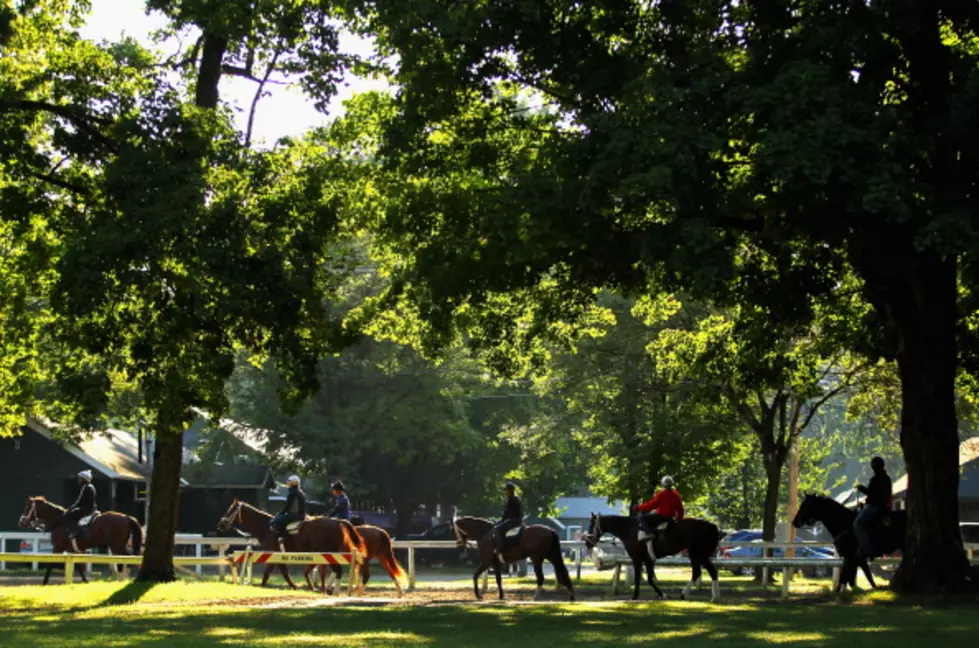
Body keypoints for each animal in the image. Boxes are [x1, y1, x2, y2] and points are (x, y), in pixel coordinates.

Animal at [217, 498, 368, 596]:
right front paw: (295, 586)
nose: (221, 524)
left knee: (337, 571)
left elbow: (269, 574)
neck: (266, 527)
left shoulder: (272, 555)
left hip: (327, 554)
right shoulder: (278, 556)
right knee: (338, 571)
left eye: (231, 510)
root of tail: (337, 521)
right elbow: (283, 572)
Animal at [580, 512, 720, 600]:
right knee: (709, 572)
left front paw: (636, 596)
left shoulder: (637, 559)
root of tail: (712, 526)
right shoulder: (647, 560)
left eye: (591, 525)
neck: (629, 529)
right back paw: (714, 597)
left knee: (699, 572)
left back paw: (686, 594)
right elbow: (649, 579)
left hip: (697, 554)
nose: (587, 542)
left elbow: (641, 578)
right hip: (700, 555)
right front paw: (661, 595)